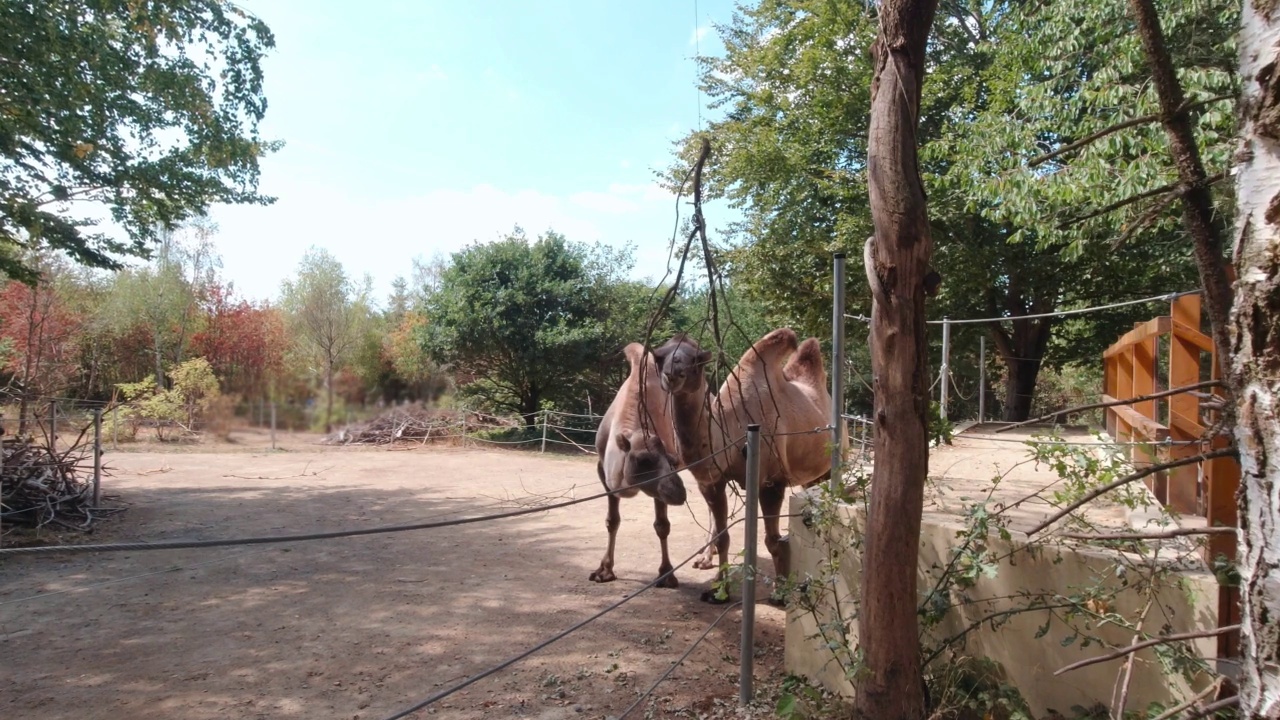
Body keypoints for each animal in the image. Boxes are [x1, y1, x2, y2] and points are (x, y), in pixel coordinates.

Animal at [591, 340, 691, 584]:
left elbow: (662, 525)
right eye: (643, 460)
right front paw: (604, 571)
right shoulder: (603, 470)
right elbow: (612, 520)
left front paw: (667, 574)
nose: (678, 492)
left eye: (673, 461)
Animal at [650, 327, 839, 602]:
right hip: (811, 474)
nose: (673, 374)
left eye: (697, 360)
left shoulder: (772, 482)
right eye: (659, 357)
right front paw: (719, 592)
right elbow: (724, 538)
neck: (733, 427)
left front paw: (779, 593)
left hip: (833, 462)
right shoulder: (713, 482)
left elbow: (773, 540)